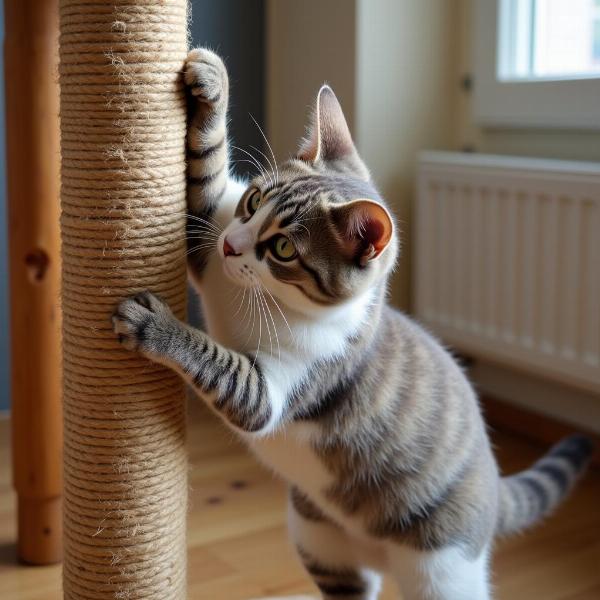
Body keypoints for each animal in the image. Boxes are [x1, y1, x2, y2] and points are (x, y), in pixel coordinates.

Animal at [110, 48, 592, 600]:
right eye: (252, 202)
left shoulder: (285, 382)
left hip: (443, 571)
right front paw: (211, 83)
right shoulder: (210, 235)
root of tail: (493, 483)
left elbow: (221, 366)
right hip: (320, 541)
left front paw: (154, 326)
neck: (262, 299)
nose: (233, 246)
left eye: (283, 248)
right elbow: (204, 187)